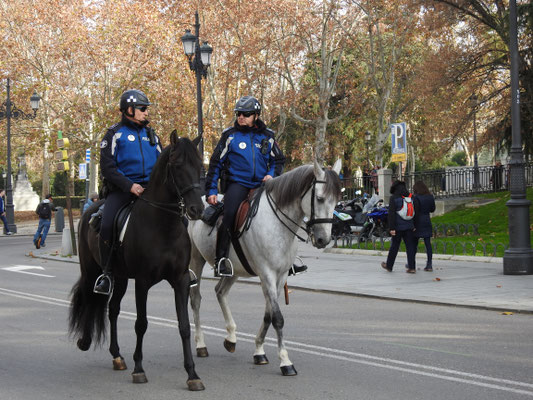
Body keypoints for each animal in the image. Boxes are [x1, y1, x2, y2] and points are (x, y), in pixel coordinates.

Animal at [67, 132, 205, 390]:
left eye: (200, 165)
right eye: (177, 165)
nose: (197, 209)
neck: (164, 227)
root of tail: (91, 208)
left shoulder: (180, 281)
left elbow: (184, 326)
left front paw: (192, 374)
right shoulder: (142, 282)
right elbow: (141, 323)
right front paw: (139, 369)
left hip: (120, 277)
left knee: (112, 310)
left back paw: (117, 356)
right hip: (92, 271)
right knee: (90, 298)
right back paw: (86, 341)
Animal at [187, 159, 338, 376]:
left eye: (336, 200)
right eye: (319, 198)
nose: (323, 239)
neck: (277, 224)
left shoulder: (280, 277)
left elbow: (268, 315)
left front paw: (259, 351)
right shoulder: (266, 274)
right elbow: (277, 318)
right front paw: (285, 361)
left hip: (234, 269)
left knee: (220, 291)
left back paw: (231, 337)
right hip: (195, 260)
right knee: (196, 299)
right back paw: (201, 344)